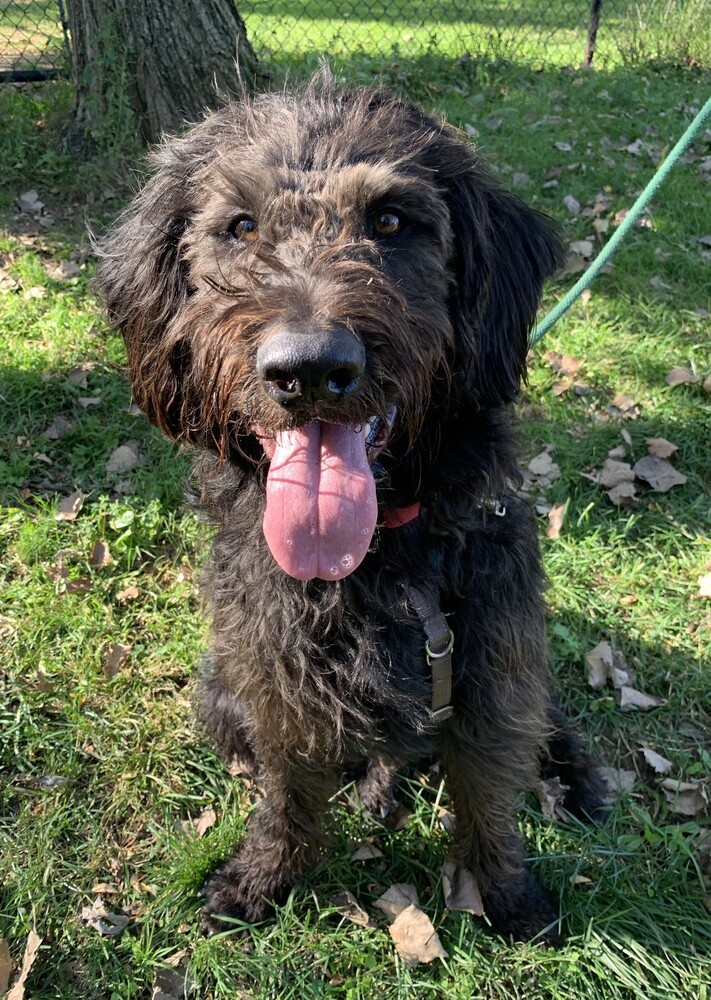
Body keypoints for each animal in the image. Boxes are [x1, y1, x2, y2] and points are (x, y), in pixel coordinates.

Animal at [97, 74, 604, 940]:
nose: (307, 369)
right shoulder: (273, 676)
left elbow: (488, 797)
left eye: (391, 221)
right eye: (241, 226)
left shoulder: (487, 668)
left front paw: (506, 895)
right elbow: (288, 792)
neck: (378, 563)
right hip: (218, 688)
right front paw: (267, 875)